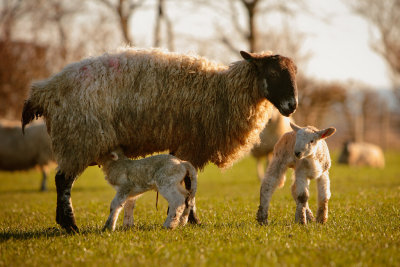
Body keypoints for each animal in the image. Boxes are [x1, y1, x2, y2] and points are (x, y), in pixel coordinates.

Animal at [21, 47, 296, 232]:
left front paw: (182, 218)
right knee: (62, 181)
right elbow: (190, 184)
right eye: (273, 72)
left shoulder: (183, 145)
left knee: (62, 180)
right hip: (79, 137)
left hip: (77, 140)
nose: (292, 106)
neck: (223, 91)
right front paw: (191, 220)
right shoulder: (191, 143)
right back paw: (70, 225)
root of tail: (44, 91)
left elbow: (188, 182)